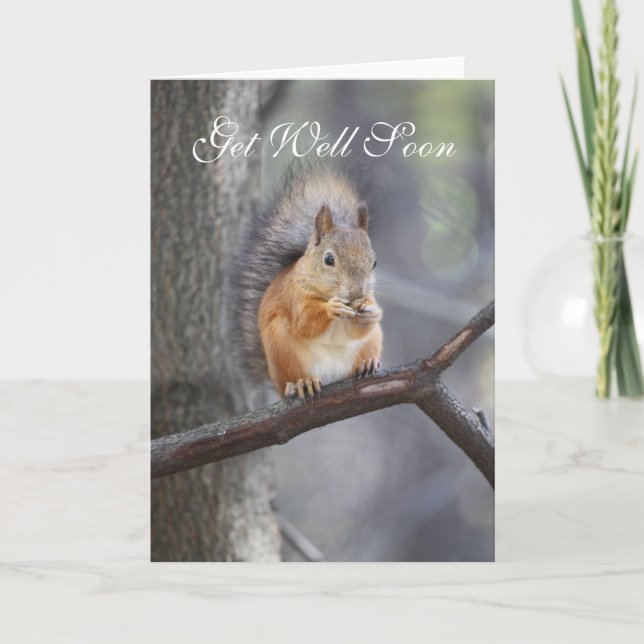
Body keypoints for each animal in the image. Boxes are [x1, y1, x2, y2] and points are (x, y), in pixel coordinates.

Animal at [233, 166, 383, 400]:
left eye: (374, 262)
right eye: (329, 259)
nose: (357, 293)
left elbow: (359, 329)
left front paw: (371, 311)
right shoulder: (294, 293)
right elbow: (305, 321)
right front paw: (332, 308)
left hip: (372, 341)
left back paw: (366, 363)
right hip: (281, 347)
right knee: (291, 378)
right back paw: (301, 384)